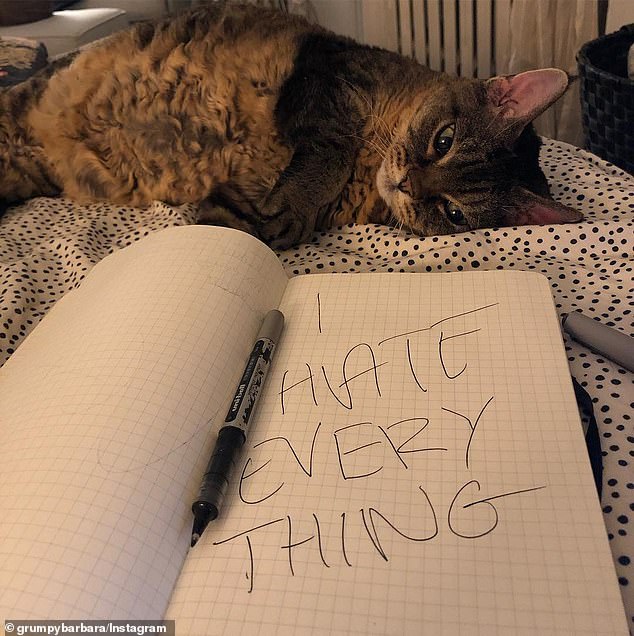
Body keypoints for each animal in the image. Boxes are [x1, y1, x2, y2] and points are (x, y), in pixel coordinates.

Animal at [0, 3, 580, 250]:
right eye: (444, 141)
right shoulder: (327, 79)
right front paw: (291, 206)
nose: (407, 184)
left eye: (455, 213)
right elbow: (328, 153)